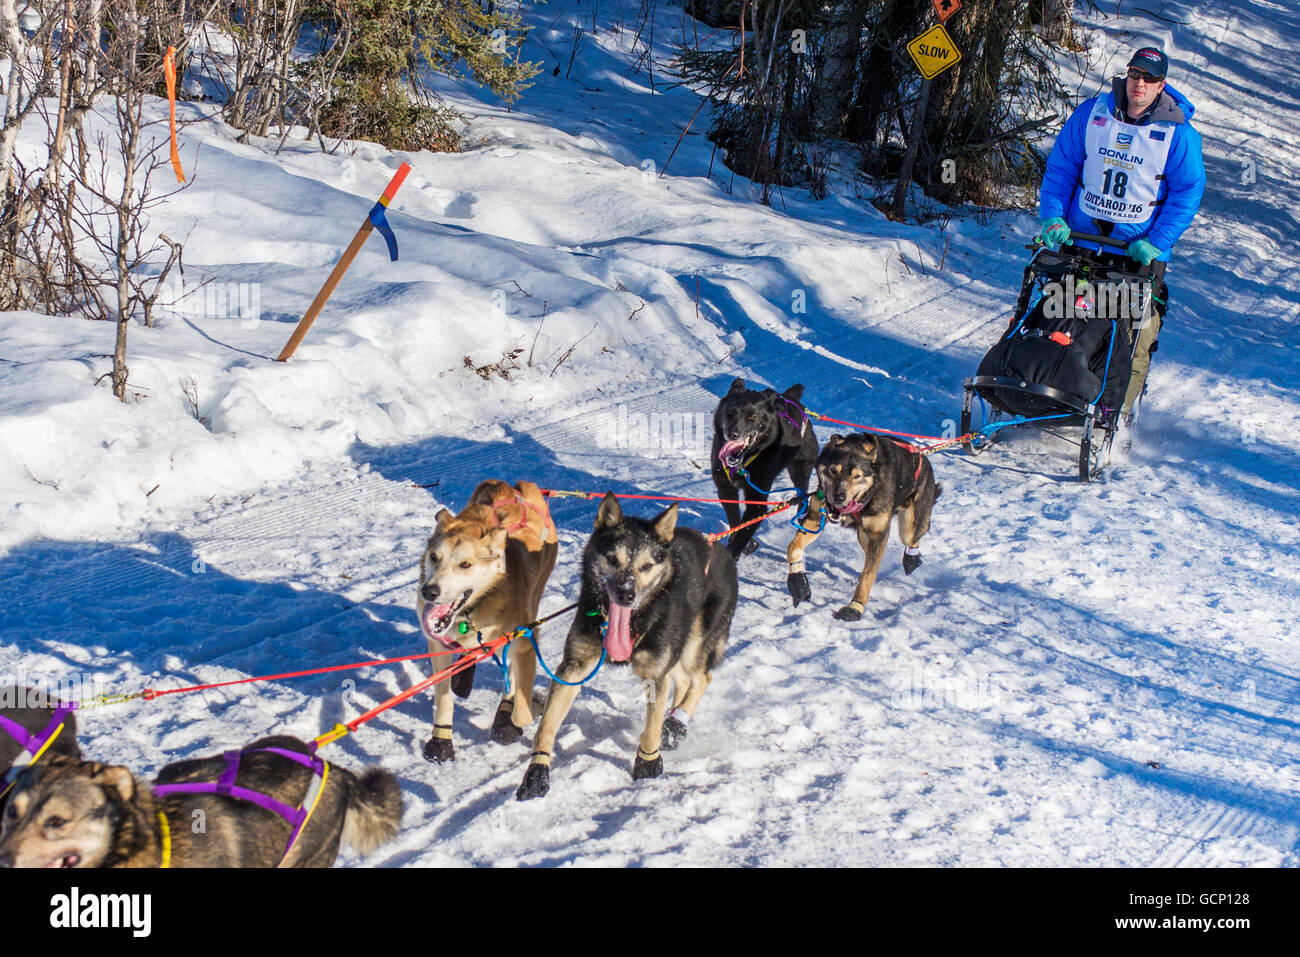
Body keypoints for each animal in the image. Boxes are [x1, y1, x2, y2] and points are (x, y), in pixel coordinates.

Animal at [416, 478, 559, 764]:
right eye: (434, 557)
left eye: (465, 564)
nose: (430, 591)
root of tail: (517, 485)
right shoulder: (437, 645)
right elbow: (444, 698)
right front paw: (441, 740)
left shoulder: (523, 643)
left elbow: (521, 708)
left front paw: (521, 711)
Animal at [514, 494, 738, 800]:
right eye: (612, 559)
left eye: (646, 565)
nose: (626, 594)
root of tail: (727, 555)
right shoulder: (574, 667)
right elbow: (547, 724)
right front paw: (537, 772)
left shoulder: (655, 676)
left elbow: (651, 728)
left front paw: (647, 764)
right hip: (675, 654)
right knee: (683, 682)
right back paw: (674, 725)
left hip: (692, 648)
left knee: (702, 678)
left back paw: (676, 723)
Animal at [717, 377, 816, 556]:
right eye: (730, 413)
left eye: (752, 416)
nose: (733, 434)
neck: (743, 464)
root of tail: (790, 397)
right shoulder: (725, 489)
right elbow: (735, 522)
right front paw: (745, 543)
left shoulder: (757, 501)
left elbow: (744, 530)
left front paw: (732, 553)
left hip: (801, 468)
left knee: (803, 490)